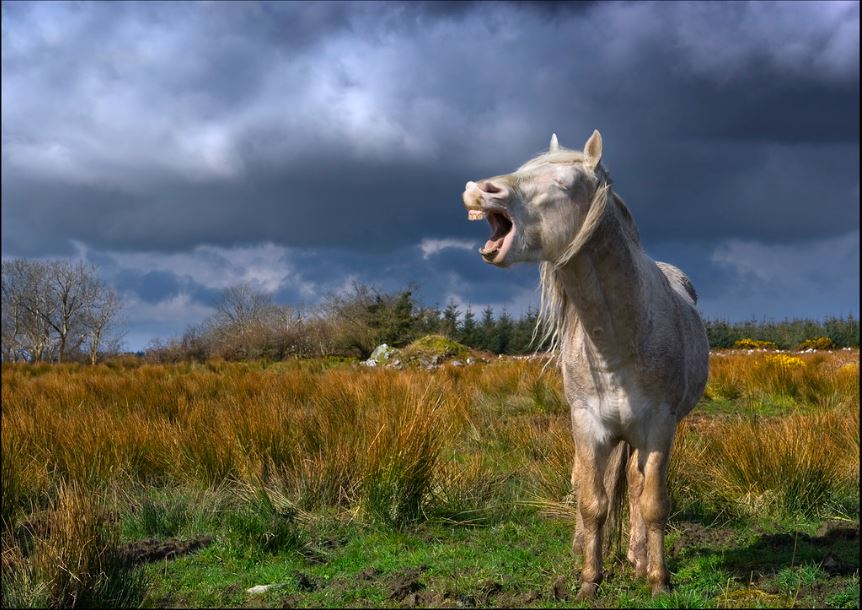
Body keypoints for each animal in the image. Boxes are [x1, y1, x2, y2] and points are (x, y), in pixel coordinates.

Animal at [462, 130, 709, 598]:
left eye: (563, 185)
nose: (479, 189)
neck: (618, 342)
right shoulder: (588, 424)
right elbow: (592, 501)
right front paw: (589, 579)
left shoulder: (658, 427)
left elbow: (652, 503)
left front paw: (658, 580)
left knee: (636, 487)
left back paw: (638, 557)